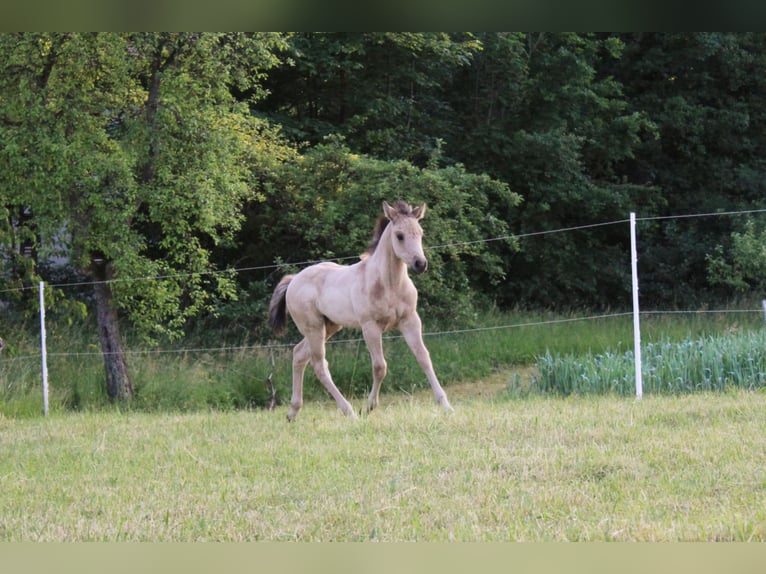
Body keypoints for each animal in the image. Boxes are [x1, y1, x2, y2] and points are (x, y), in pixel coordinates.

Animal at [268, 200, 453, 421]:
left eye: (421, 233)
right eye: (399, 235)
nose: (420, 264)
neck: (389, 284)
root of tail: (293, 280)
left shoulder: (410, 320)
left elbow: (424, 358)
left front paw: (446, 405)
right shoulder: (370, 326)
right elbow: (380, 366)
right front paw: (369, 407)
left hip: (329, 327)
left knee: (298, 354)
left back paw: (293, 412)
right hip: (314, 328)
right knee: (319, 365)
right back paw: (349, 412)